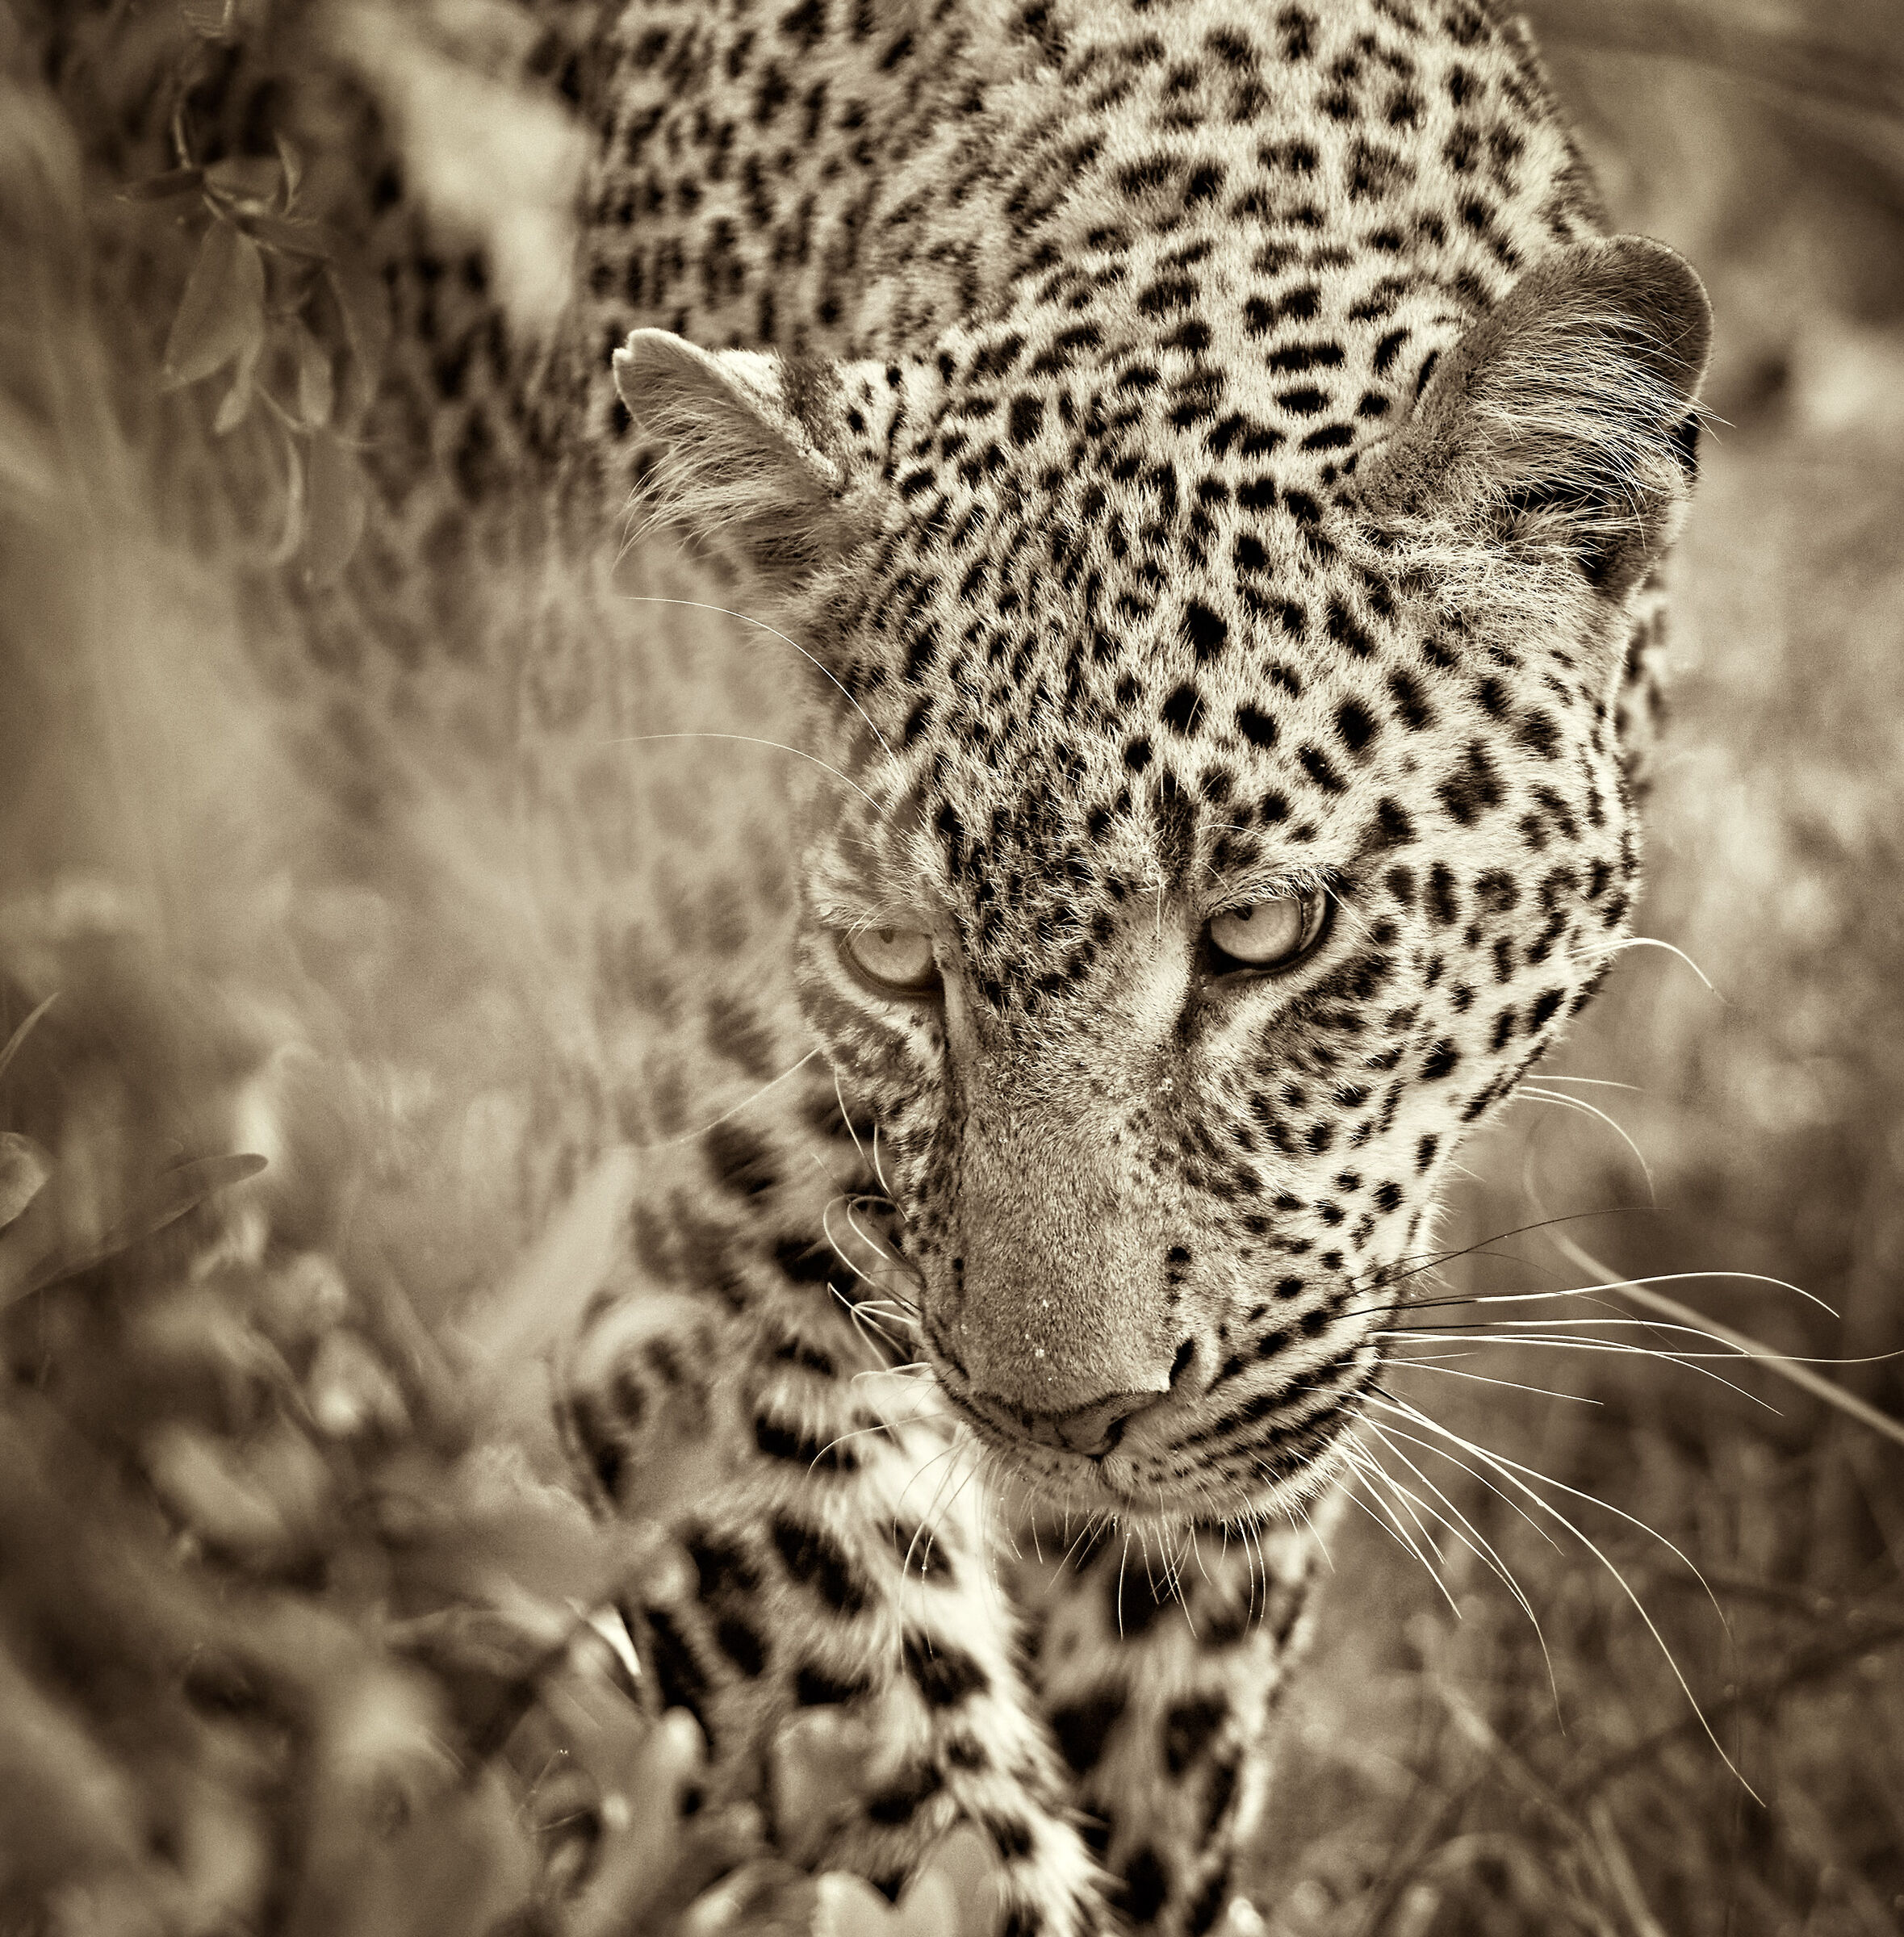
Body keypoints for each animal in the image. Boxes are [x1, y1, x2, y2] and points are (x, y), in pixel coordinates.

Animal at [9, 0, 1710, 1932]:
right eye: (894, 958)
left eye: (1264, 933)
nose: (1060, 1418)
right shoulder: (690, 1269)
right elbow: (904, 1785)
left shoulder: (1307, 1304)